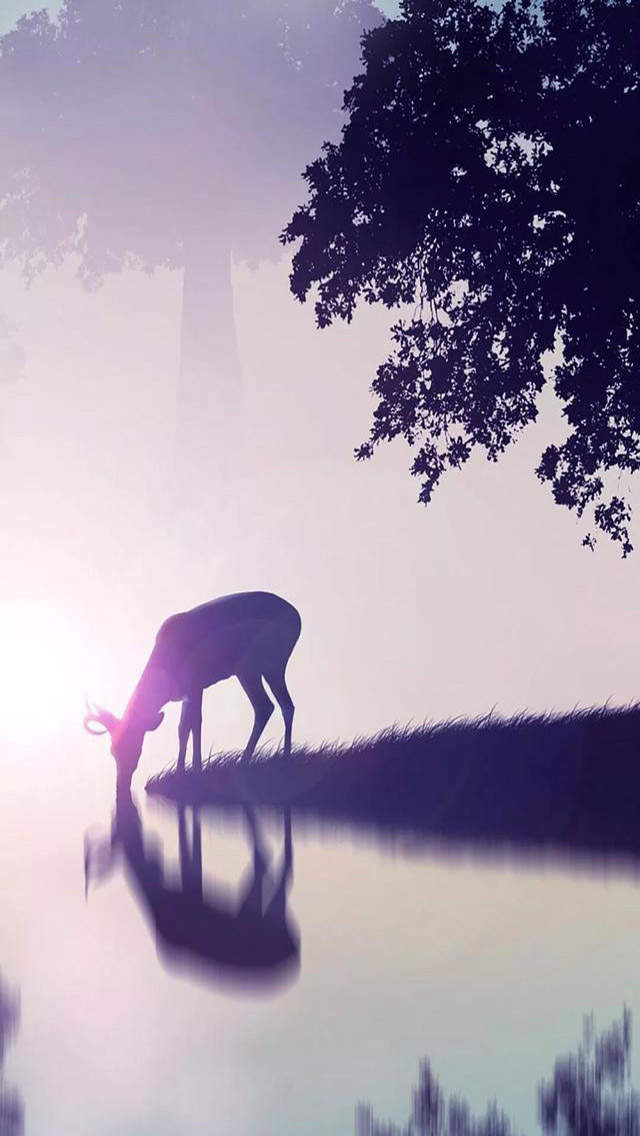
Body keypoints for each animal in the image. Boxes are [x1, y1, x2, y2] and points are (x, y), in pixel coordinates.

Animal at [84, 591, 302, 780]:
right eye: (113, 749)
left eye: (135, 743)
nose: (124, 776)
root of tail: (294, 614)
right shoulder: (186, 695)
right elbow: (183, 728)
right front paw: (181, 771)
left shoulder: (196, 688)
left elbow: (195, 723)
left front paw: (196, 768)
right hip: (259, 672)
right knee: (277, 706)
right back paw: (274, 757)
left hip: (259, 670)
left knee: (272, 706)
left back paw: (260, 759)